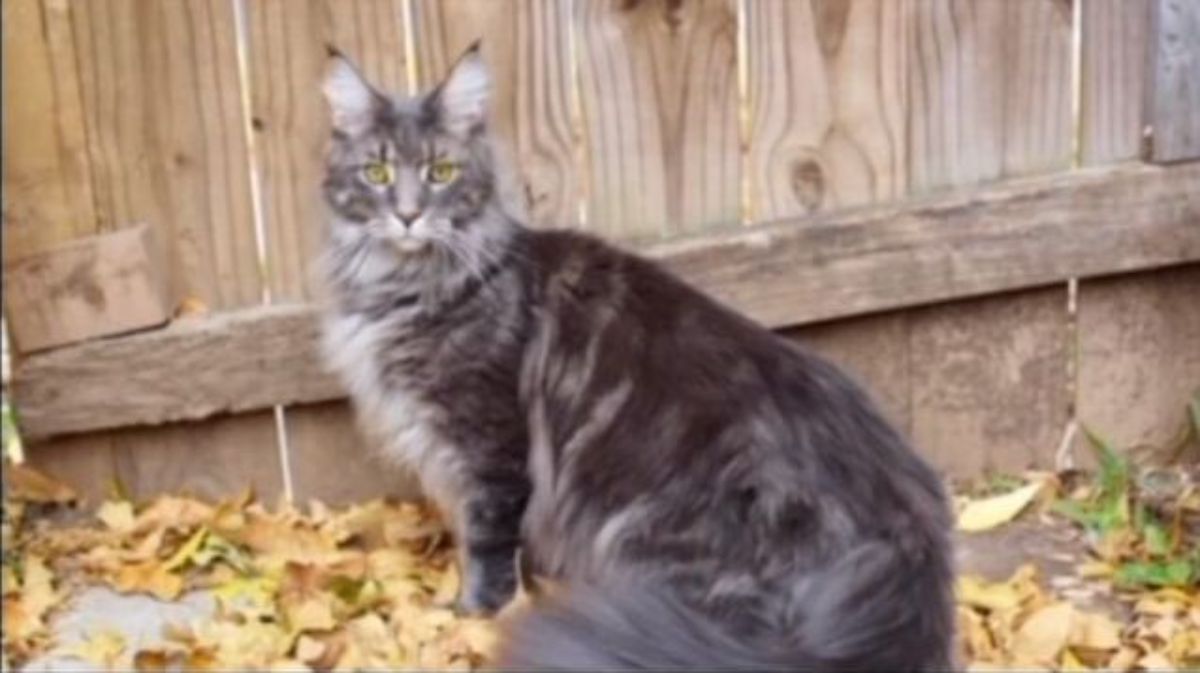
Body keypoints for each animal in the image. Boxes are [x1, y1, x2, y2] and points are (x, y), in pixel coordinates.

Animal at [319, 44, 955, 667]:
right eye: (377, 173)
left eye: (440, 173)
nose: (407, 214)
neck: (408, 284)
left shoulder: (487, 445)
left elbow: (488, 546)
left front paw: (471, 618)